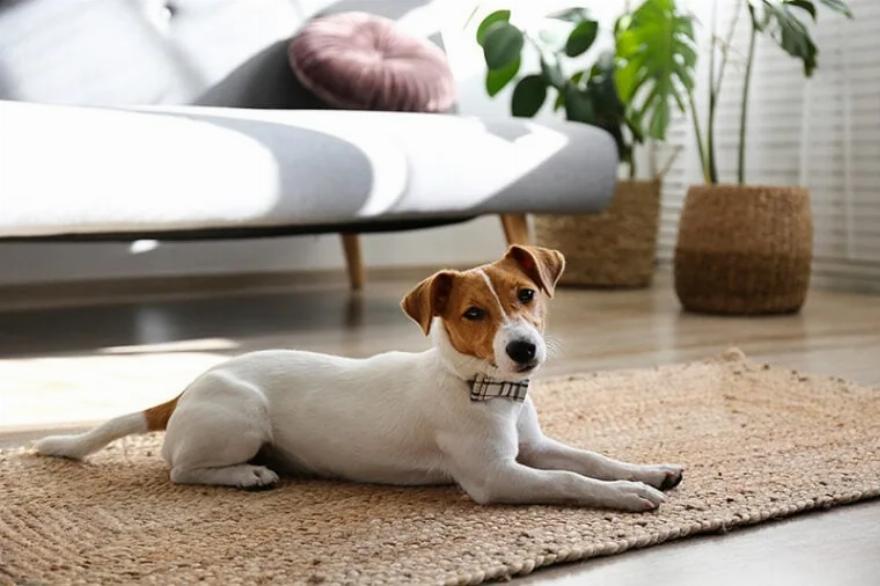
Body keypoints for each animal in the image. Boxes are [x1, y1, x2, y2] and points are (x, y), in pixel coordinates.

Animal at [36, 245, 682, 510]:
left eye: (527, 295)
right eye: (474, 314)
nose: (524, 350)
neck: (484, 388)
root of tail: (189, 387)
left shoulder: (535, 447)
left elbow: (590, 459)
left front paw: (649, 471)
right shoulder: (497, 477)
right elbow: (572, 480)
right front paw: (629, 496)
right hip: (242, 419)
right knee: (180, 470)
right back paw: (247, 476)